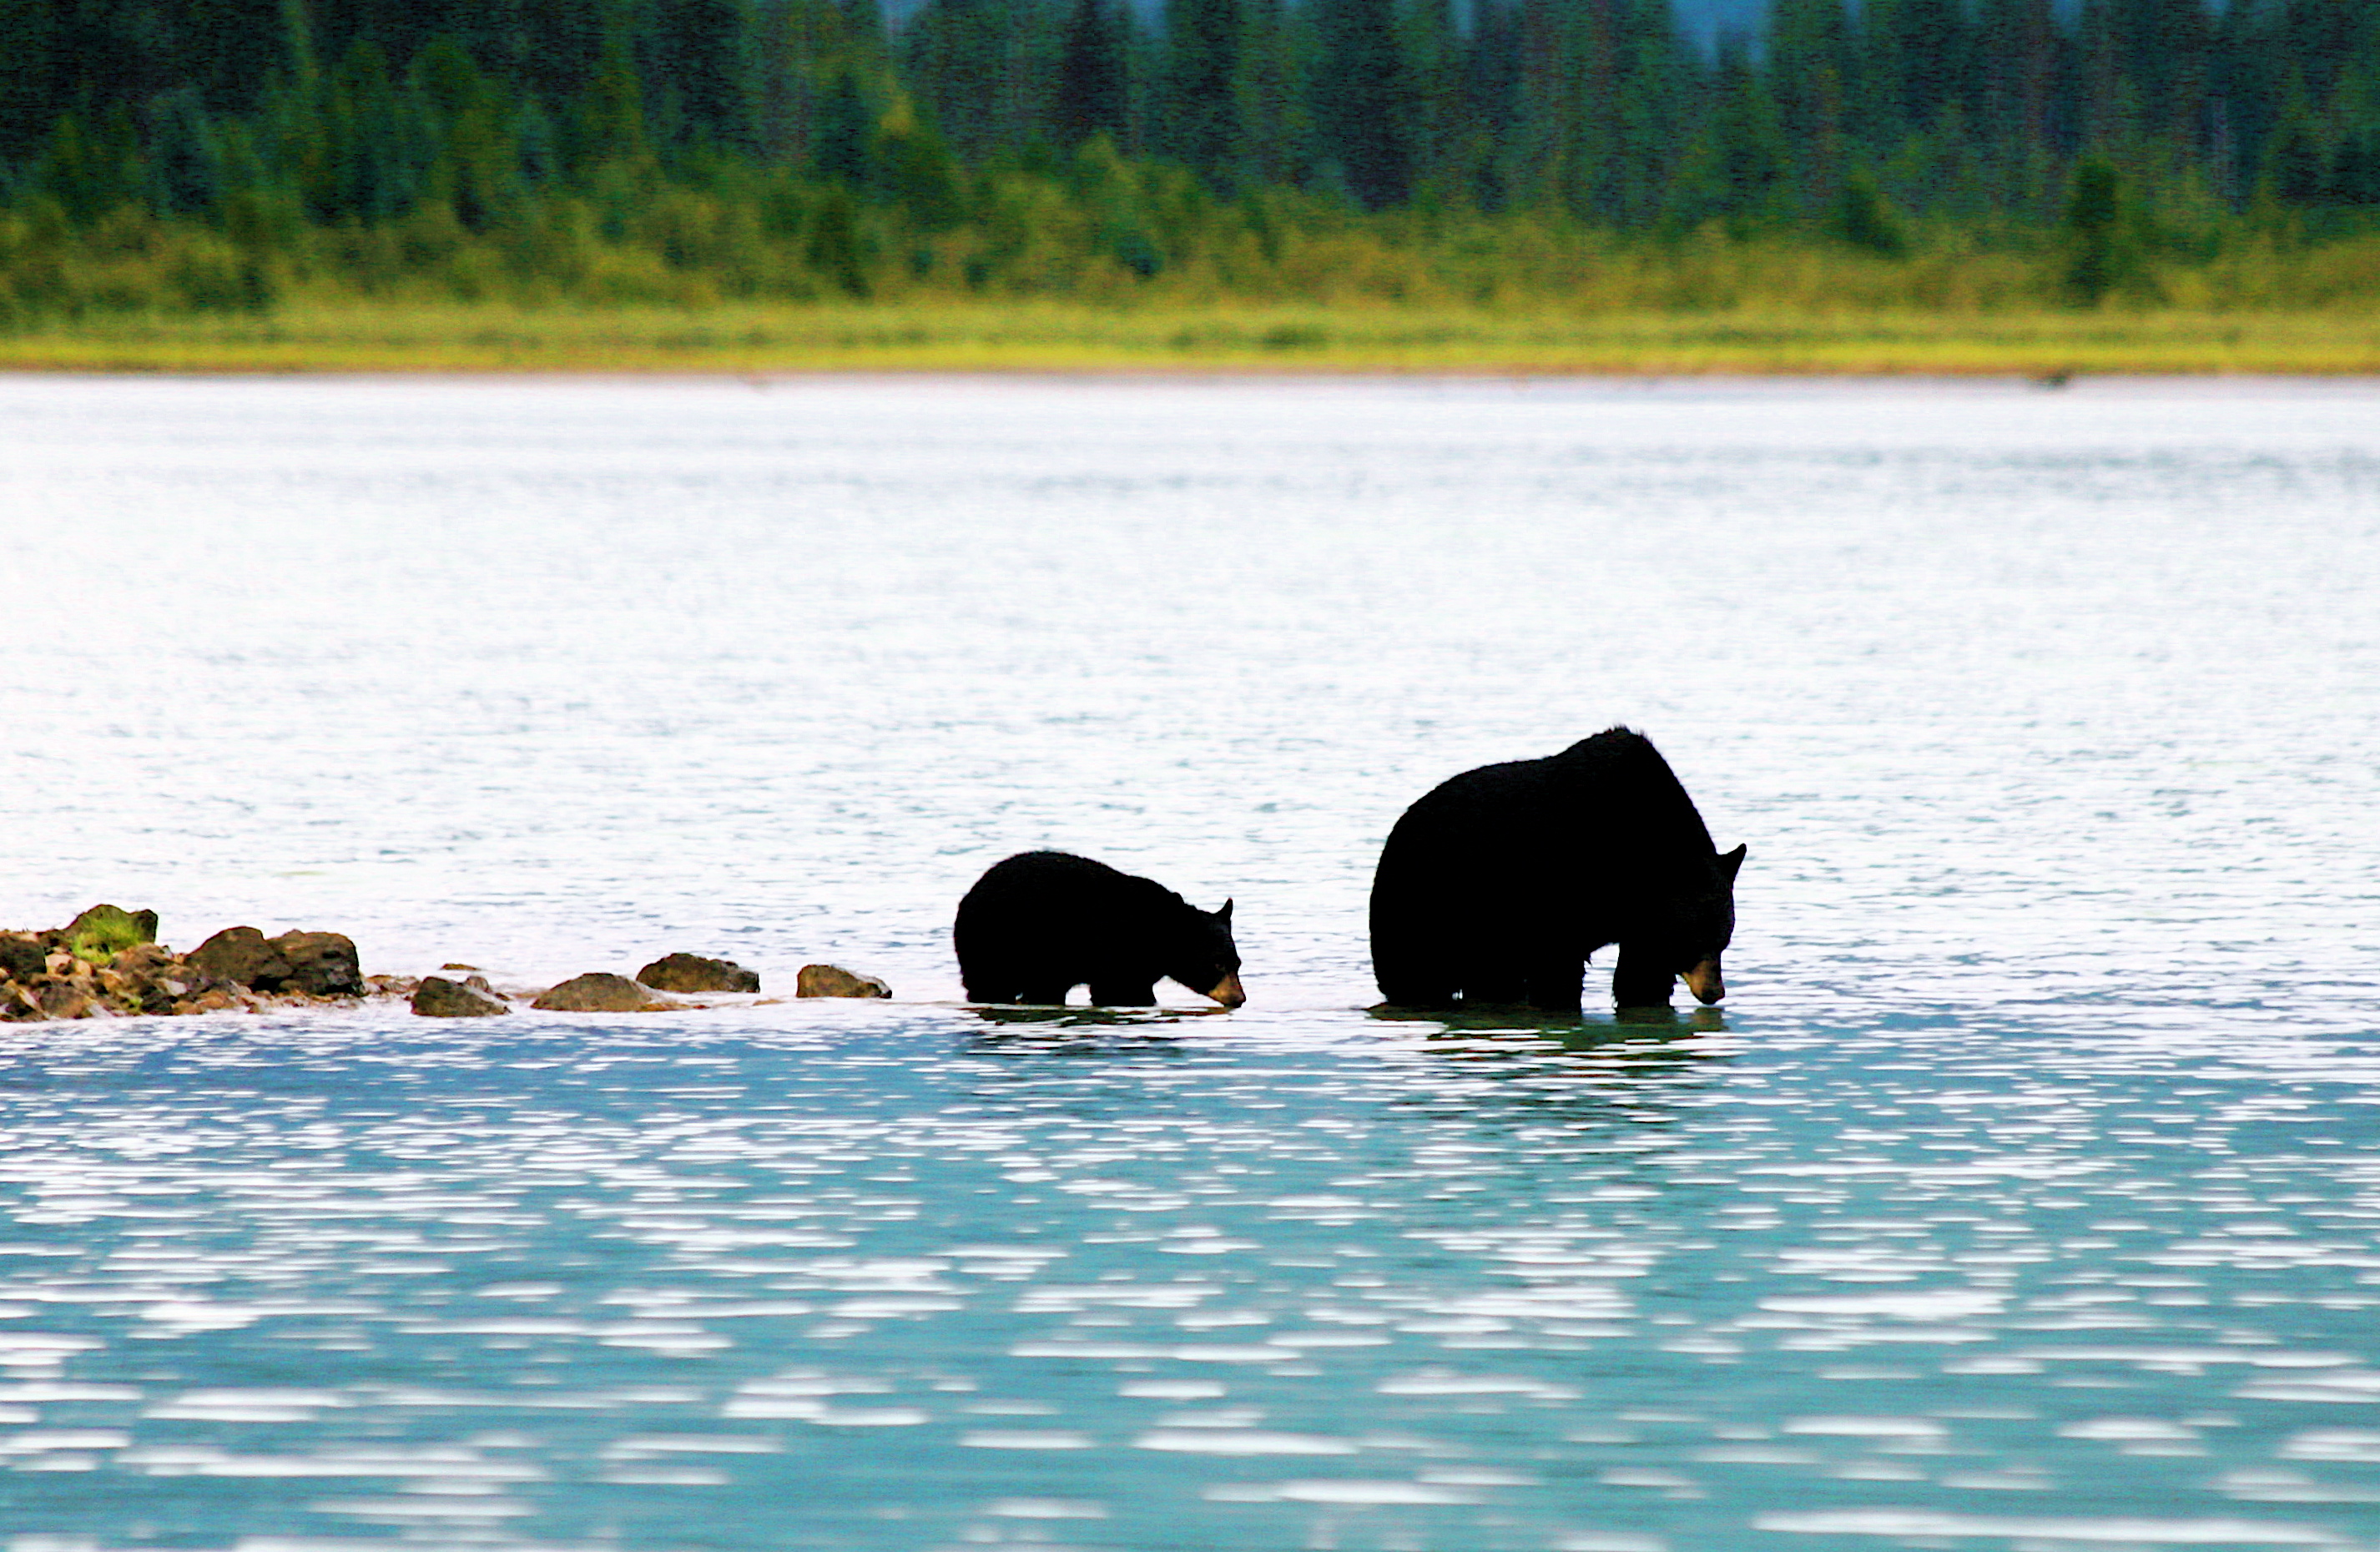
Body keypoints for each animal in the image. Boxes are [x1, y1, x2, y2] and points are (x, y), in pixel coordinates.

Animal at [955, 851, 1245, 1008]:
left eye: (1237, 963)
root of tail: (968, 896)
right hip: (996, 942)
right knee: (989, 984)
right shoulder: (1115, 947)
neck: (1156, 933)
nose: (1238, 998)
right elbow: (1116, 989)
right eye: (1217, 964)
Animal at [1369, 728, 1744, 1012]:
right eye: (1694, 939)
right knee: (1415, 975)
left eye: (1724, 939)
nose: (1715, 992)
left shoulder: (1643, 917)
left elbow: (1643, 973)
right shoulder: (1557, 880)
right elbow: (1556, 963)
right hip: (1424, 909)